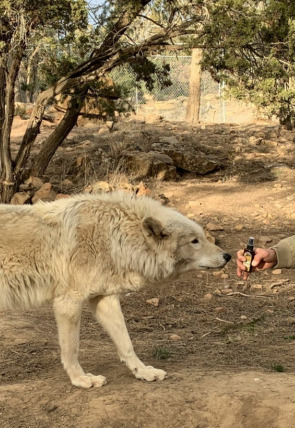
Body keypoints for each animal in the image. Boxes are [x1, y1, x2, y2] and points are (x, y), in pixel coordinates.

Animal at [0, 191, 231, 388]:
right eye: (195, 241)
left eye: (203, 237)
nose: (227, 255)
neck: (115, 237)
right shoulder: (68, 302)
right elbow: (71, 350)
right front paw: (81, 379)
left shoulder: (105, 298)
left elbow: (126, 343)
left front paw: (143, 372)